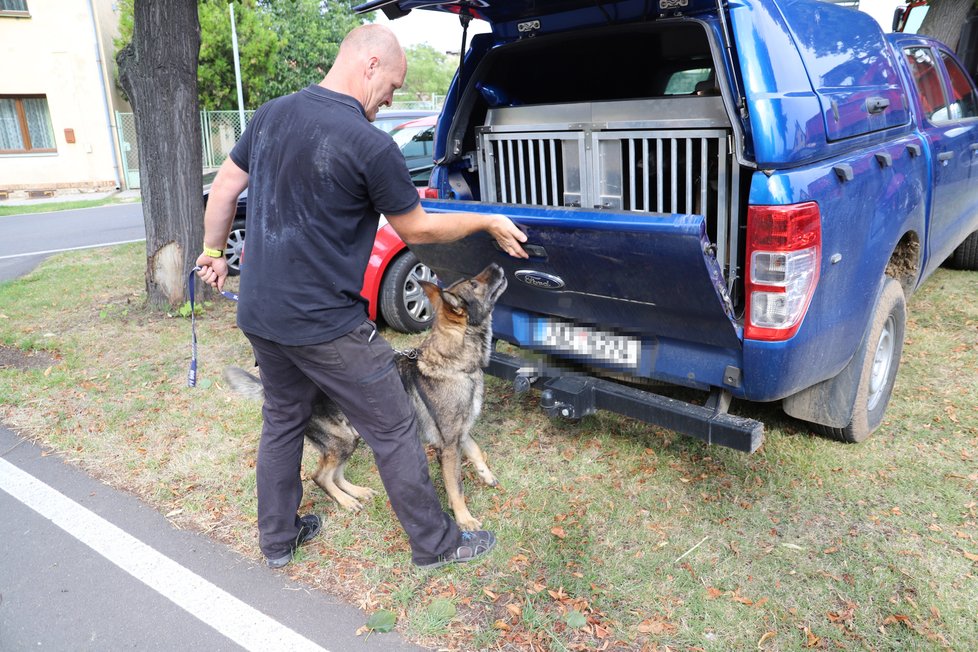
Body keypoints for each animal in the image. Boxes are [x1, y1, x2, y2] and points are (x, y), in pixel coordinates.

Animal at [224, 262, 508, 532]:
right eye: (474, 283)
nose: (496, 265)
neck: (454, 363)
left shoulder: (460, 433)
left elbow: (477, 452)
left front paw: (486, 475)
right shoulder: (448, 445)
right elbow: (456, 486)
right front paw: (464, 519)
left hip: (351, 439)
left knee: (334, 475)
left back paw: (356, 492)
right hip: (342, 442)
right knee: (320, 476)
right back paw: (346, 501)